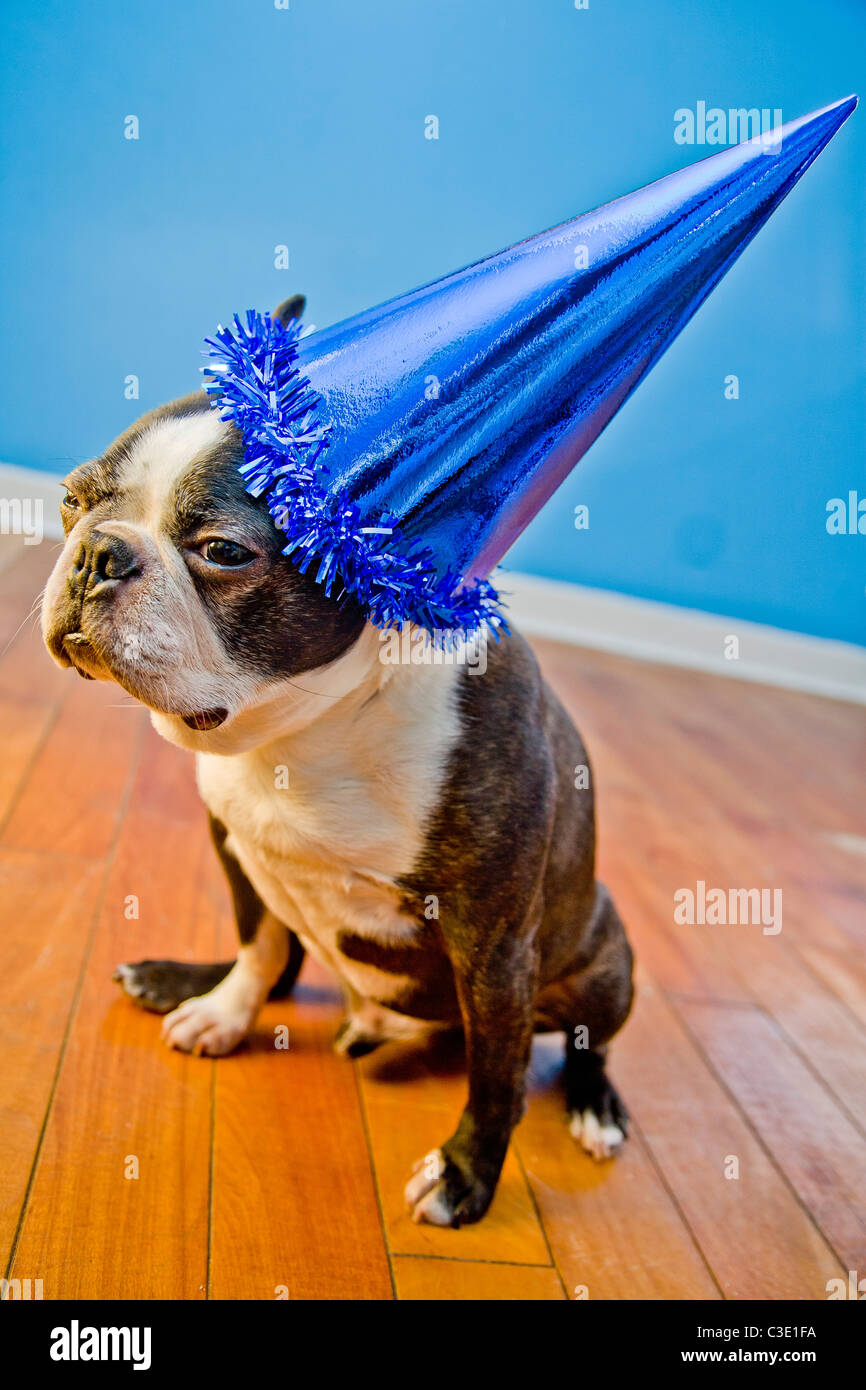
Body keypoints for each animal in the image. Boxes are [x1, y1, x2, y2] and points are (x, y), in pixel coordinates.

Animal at [40, 296, 633, 1228]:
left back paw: (594, 1105)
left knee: (582, 1042)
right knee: (287, 962)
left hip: (606, 953)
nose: (101, 551)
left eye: (224, 551)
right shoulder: (236, 844)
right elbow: (259, 945)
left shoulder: (494, 939)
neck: (303, 732)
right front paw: (225, 1011)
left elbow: (496, 1073)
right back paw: (179, 982)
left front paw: (466, 1176)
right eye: (71, 500)